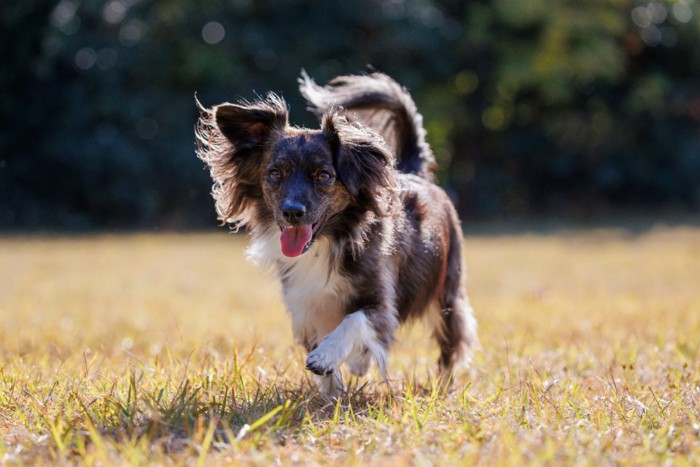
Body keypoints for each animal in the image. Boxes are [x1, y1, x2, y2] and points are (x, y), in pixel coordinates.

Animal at [196, 71, 476, 396]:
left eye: (324, 176)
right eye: (274, 174)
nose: (292, 212)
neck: (326, 243)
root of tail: (415, 173)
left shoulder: (381, 304)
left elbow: (355, 321)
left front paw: (326, 356)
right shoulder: (304, 306)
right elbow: (324, 347)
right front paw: (333, 392)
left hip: (447, 295)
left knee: (450, 346)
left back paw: (443, 386)